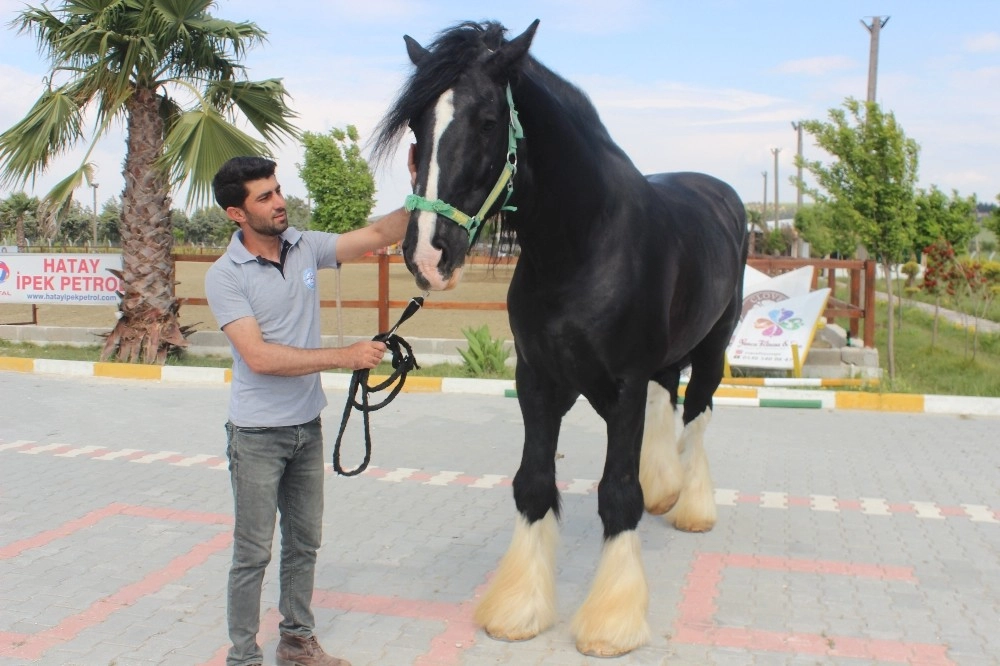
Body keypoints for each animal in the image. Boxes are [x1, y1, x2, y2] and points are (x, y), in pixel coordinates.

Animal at [372, 19, 748, 652]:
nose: (427, 255)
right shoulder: (538, 380)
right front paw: (518, 608)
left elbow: (617, 493)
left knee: (697, 414)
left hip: (713, 348)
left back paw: (693, 506)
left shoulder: (622, 385)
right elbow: (533, 484)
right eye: (418, 125)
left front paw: (612, 621)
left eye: (488, 121)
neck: (583, 244)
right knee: (669, 400)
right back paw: (666, 488)